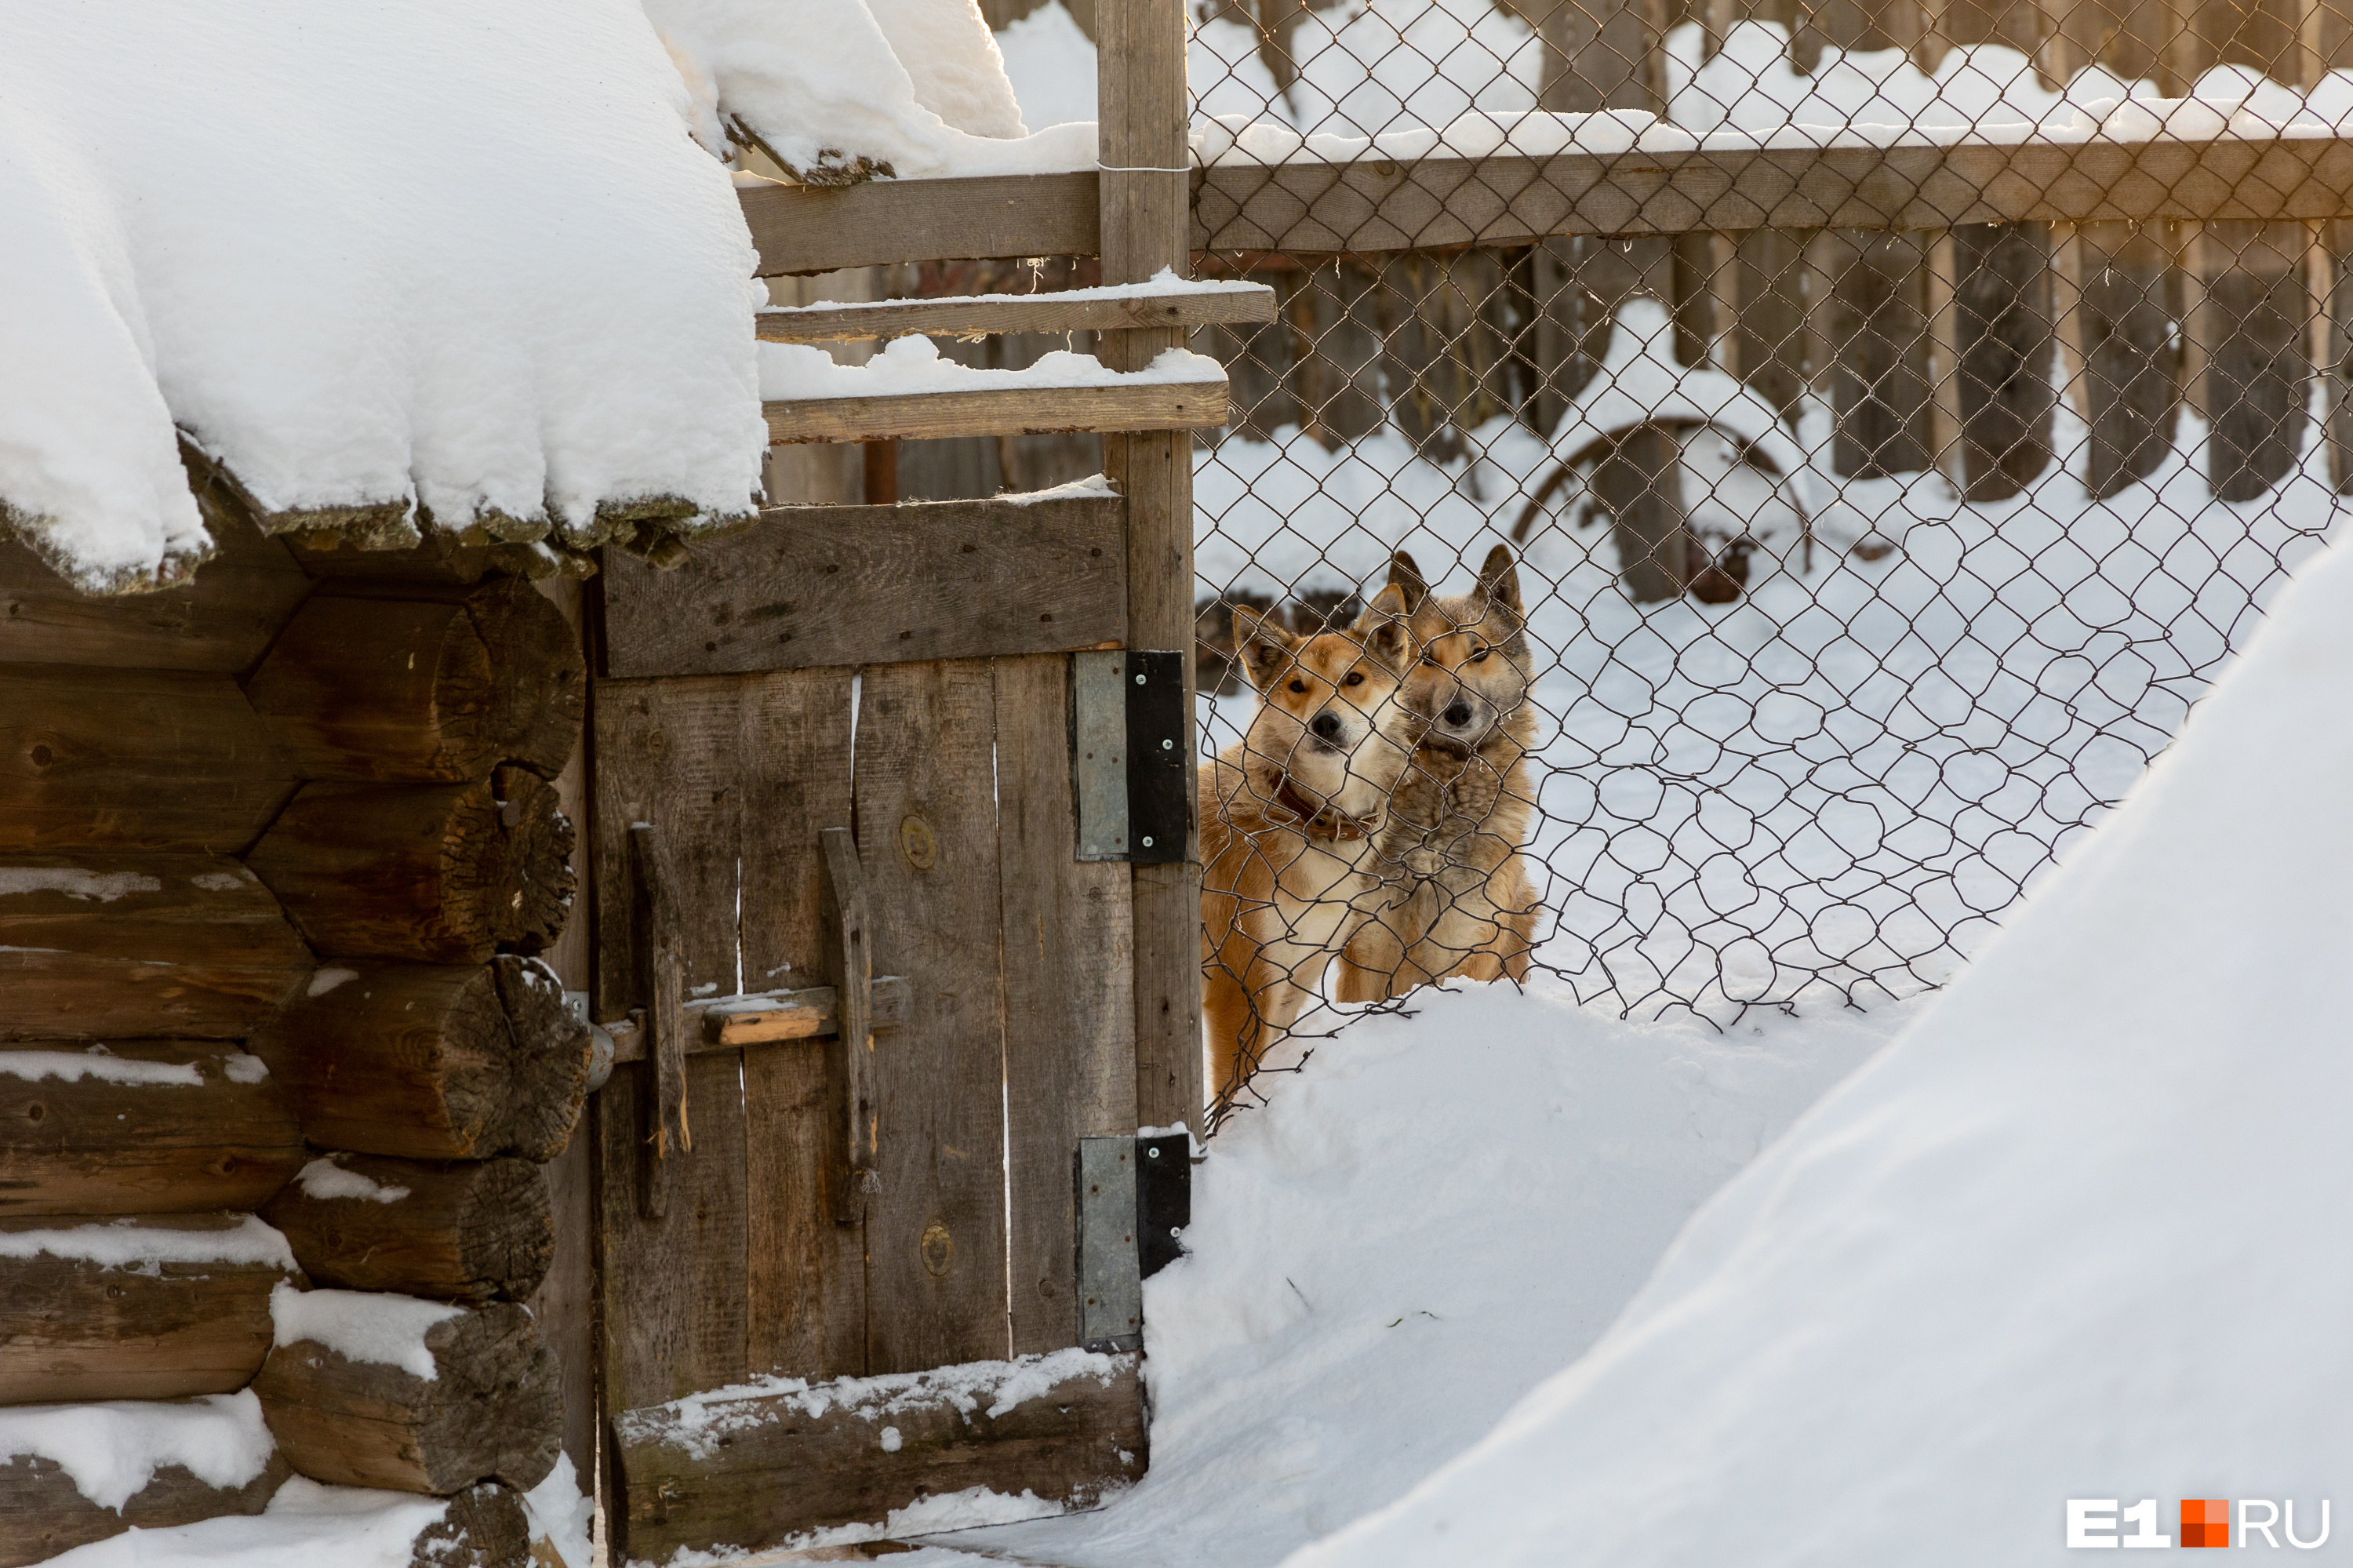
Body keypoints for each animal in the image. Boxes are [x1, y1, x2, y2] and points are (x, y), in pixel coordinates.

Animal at [1195, 579, 1412, 1106]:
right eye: (1297, 687)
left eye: (1354, 679)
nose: (1325, 723)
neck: (1306, 813)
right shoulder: (1239, 984)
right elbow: (1235, 1087)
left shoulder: (1298, 974)